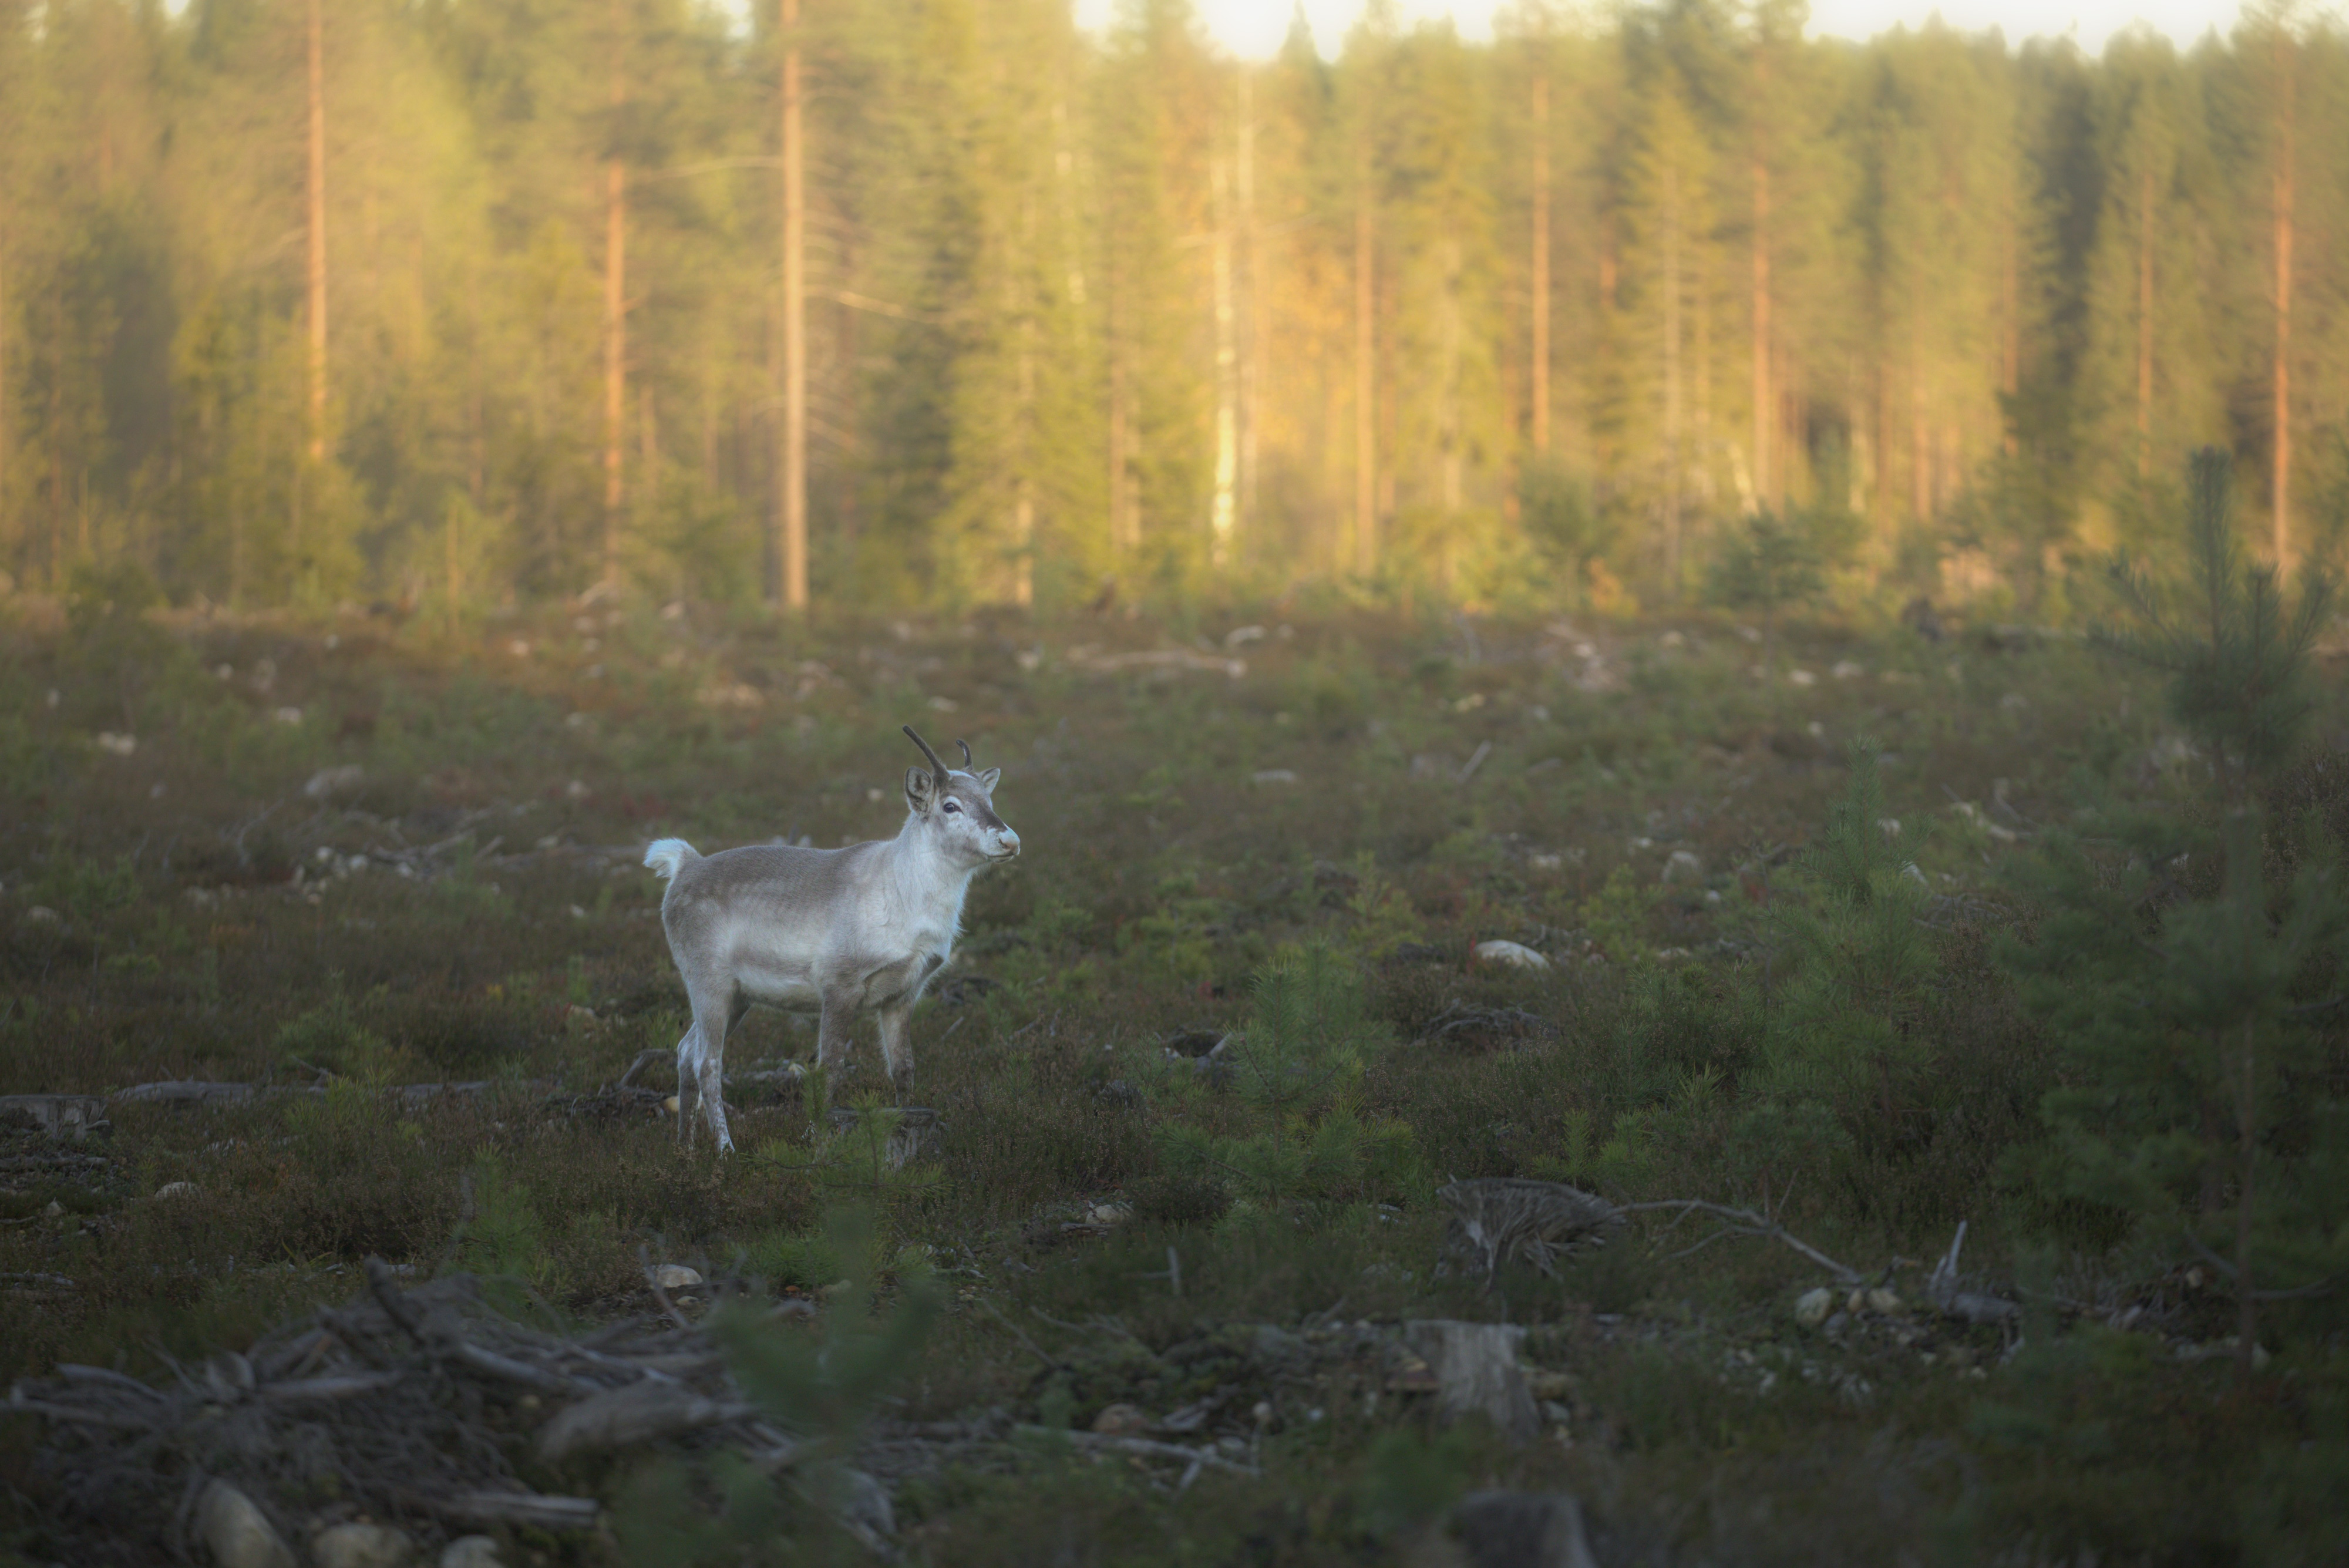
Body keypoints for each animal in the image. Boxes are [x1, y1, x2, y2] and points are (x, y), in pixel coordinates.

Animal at [643, 726, 1020, 1153]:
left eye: (989, 800)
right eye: (951, 806)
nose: (1010, 841)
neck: (905, 897)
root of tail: (682, 867)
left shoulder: (903, 995)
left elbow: (904, 1069)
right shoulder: (840, 985)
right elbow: (831, 1070)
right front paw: (815, 1138)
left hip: (738, 998)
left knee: (685, 1050)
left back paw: (686, 1150)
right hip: (709, 984)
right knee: (708, 1062)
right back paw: (725, 1150)